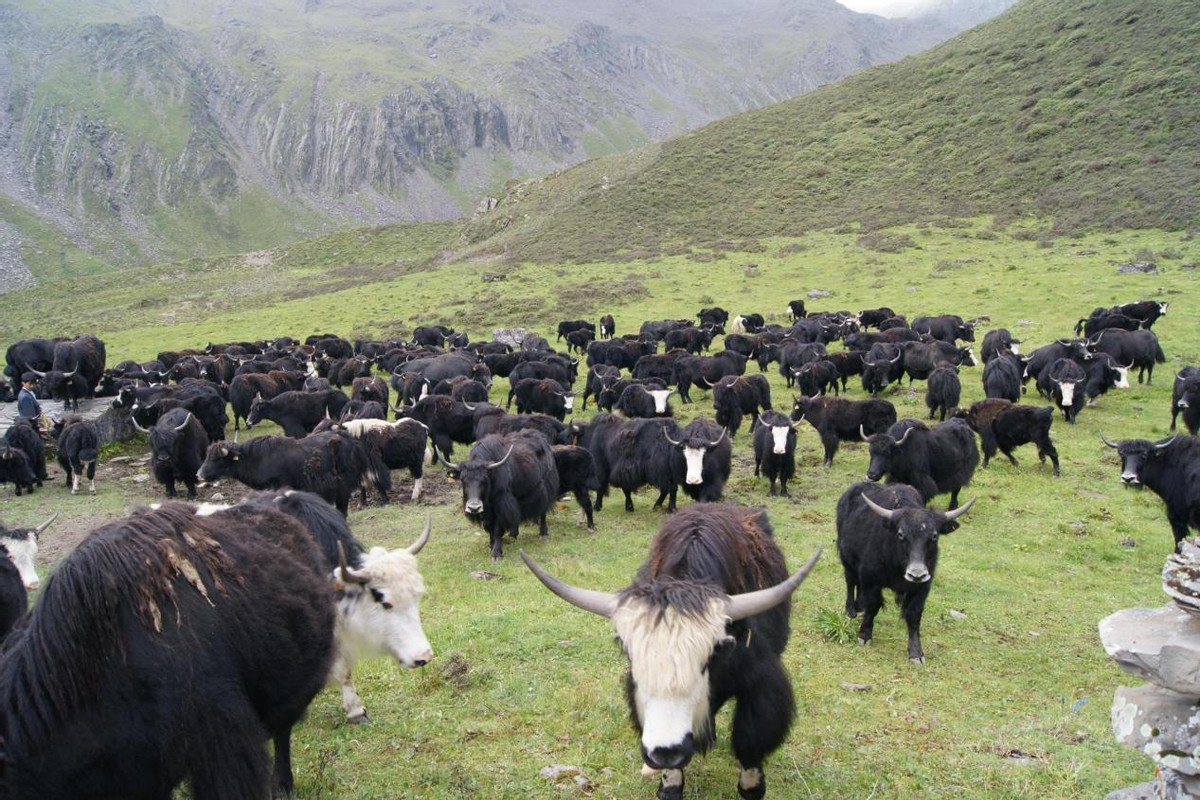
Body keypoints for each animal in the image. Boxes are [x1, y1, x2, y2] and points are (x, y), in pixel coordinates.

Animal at [835, 482, 974, 662]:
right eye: (900, 534)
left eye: (934, 536)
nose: (916, 574)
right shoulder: (871, 579)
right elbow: (873, 606)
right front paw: (864, 636)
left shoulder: (923, 587)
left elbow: (913, 616)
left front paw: (916, 653)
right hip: (847, 559)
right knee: (851, 581)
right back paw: (852, 610)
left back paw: (860, 607)